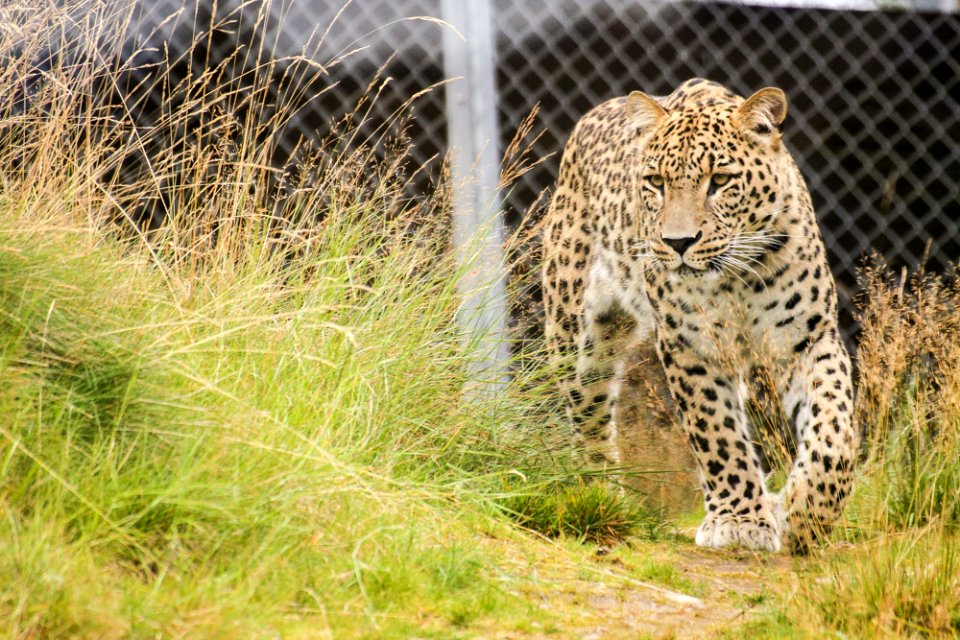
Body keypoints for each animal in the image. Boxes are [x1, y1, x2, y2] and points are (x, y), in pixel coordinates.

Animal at [544, 79, 860, 552]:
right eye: (656, 182)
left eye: (721, 181)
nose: (677, 242)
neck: (738, 278)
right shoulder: (690, 347)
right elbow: (717, 435)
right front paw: (742, 520)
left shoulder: (807, 339)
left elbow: (834, 430)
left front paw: (806, 513)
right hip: (579, 342)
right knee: (590, 416)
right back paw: (604, 495)